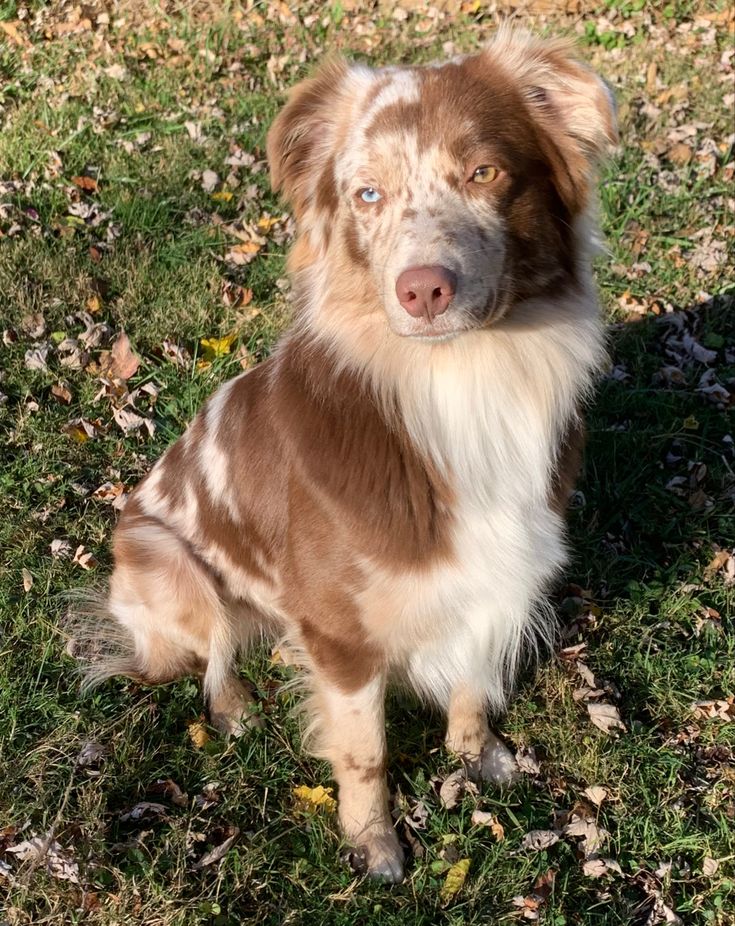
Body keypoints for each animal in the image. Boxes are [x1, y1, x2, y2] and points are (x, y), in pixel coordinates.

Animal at [73, 29, 616, 884]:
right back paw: (234, 711)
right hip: (167, 562)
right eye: (366, 195)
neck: (461, 382)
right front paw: (374, 845)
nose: (423, 289)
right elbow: (364, 749)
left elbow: (472, 684)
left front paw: (476, 757)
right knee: (204, 661)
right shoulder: (339, 635)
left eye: (484, 173)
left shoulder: (493, 581)